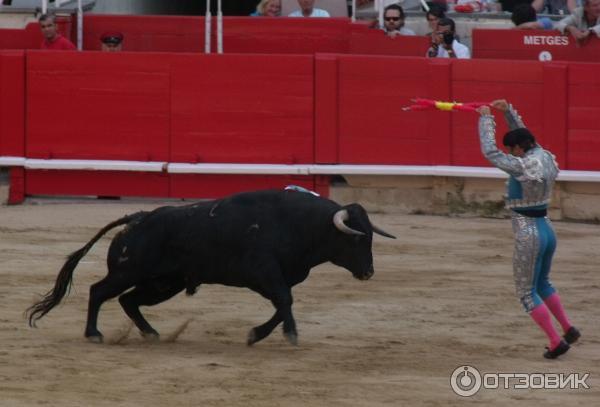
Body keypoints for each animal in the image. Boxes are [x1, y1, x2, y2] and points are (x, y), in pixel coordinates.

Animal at [27, 190, 394, 346]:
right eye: (357, 239)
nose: (369, 272)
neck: (300, 225)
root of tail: (138, 218)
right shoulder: (265, 273)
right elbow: (285, 302)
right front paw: (289, 335)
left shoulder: (275, 280)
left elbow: (282, 305)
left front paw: (257, 334)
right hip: (128, 273)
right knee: (99, 291)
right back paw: (94, 333)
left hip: (163, 283)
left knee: (128, 300)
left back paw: (152, 333)